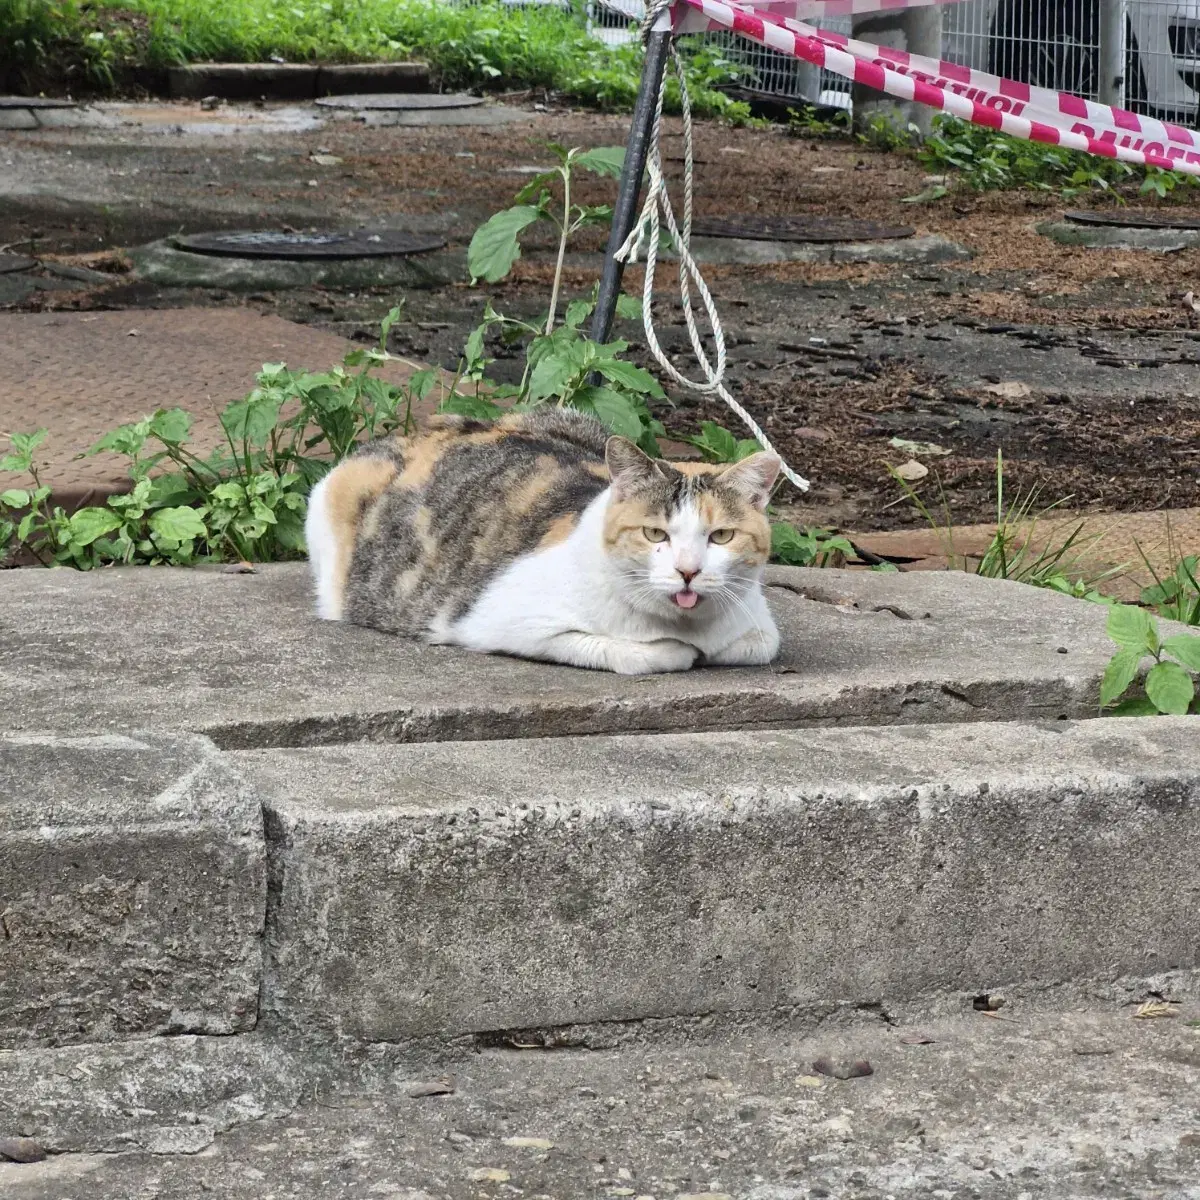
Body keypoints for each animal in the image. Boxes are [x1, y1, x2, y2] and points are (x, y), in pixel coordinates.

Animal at [304, 410, 782, 676]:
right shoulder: (500, 622)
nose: (687, 570)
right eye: (654, 533)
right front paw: (680, 652)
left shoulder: (759, 627)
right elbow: (640, 653)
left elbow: (756, 645)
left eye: (721, 536)